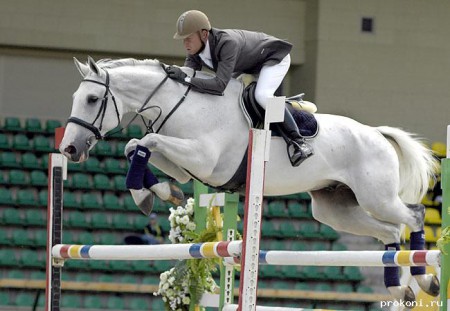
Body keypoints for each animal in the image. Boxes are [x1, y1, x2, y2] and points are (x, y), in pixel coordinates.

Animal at [59, 57, 440, 306]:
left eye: (92, 99)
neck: (182, 106)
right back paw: (401, 290)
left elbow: (145, 141)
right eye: (76, 98)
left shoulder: (204, 159)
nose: (69, 148)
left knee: (413, 215)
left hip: (377, 197)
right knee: (390, 231)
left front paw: (148, 193)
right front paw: (156, 192)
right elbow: (136, 146)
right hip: (335, 209)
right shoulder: (186, 167)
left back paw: (427, 280)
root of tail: (376, 133)